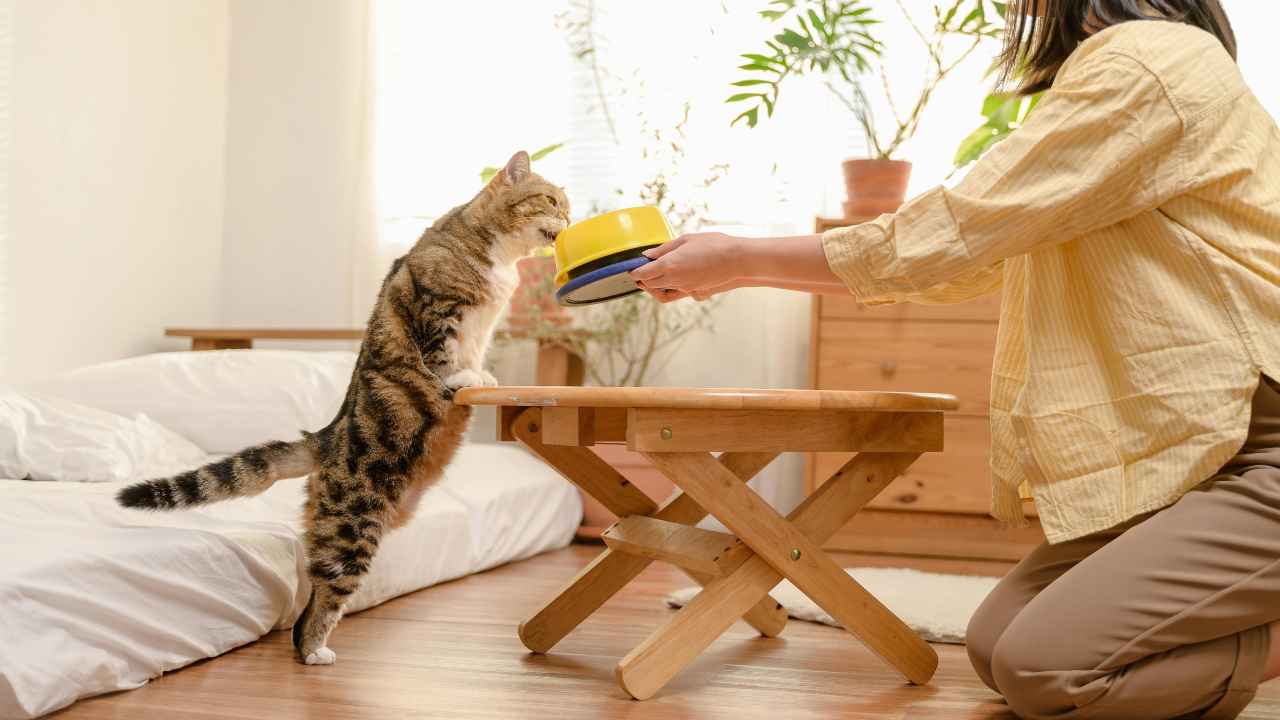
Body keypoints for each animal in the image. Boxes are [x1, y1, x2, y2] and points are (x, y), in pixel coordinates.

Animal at [117, 149, 568, 661]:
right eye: (551, 200)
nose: (571, 219)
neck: (500, 260)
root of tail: (326, 437)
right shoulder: (437, 308)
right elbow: (444, 355)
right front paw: (463, 379)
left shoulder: (481, 328)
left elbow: (473, 353)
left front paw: (482, 376)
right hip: (354, 525)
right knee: (320, 601)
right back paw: (315, 652)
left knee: (310, 599)